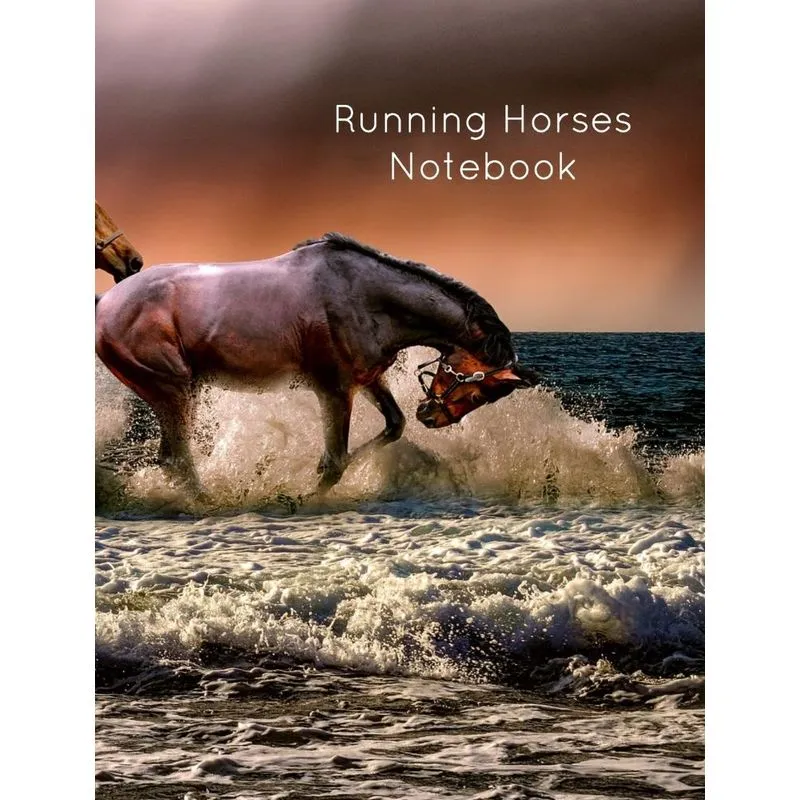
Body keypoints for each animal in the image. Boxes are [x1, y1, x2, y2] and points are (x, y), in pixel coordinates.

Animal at [95, 232, 539, 496]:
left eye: (486, 397)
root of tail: (105, 303)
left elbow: (392, 426)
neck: (367, 298)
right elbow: (336, 461)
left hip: (173, 394)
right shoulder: (334, 389)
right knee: (179, 460)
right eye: (477, 389)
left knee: (171, 460)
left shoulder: (367, 379)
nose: (431, 416)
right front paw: (301, 496)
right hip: (174, 390)